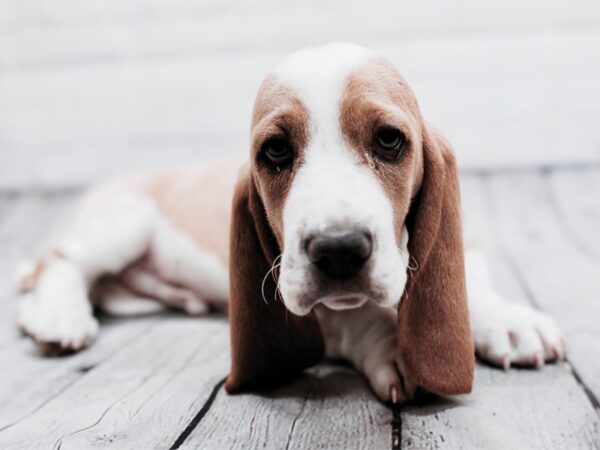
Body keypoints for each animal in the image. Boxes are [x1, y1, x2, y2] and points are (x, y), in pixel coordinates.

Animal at [16, 44, 564, 406]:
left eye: (390, 140)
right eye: (276, 150)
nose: (339, 251)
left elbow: (473, 284)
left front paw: (507, 321)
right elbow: (357, 317)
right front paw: (390, 344)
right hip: (122, 224)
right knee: (59, 262)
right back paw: (57, 318)